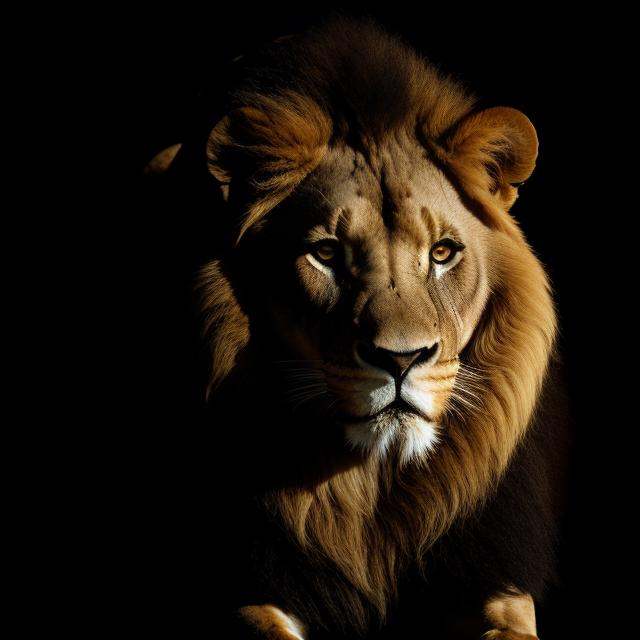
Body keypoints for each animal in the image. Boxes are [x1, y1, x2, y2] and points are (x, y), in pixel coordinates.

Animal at [149, 18, 567, 640]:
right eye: (326, 254)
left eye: (442, 253)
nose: (401, 360)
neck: (374, 491)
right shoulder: (250, 581)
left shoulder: (495, 574)